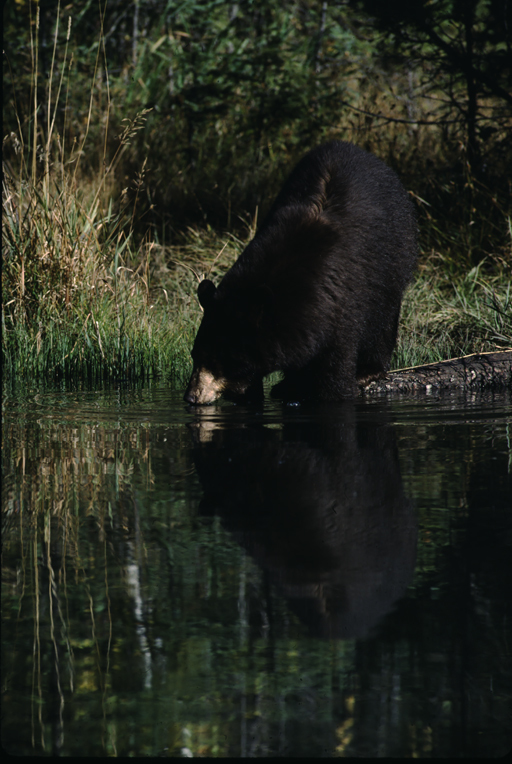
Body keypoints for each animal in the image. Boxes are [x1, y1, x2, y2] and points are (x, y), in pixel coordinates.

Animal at [184, 139, 416, 406]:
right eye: (195, 354)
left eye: (216, 360)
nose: (191, 396)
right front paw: (288, 386)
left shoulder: (341, 304)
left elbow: (335, 365)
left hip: (394, 257)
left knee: (384, 313)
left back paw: (369, 370)